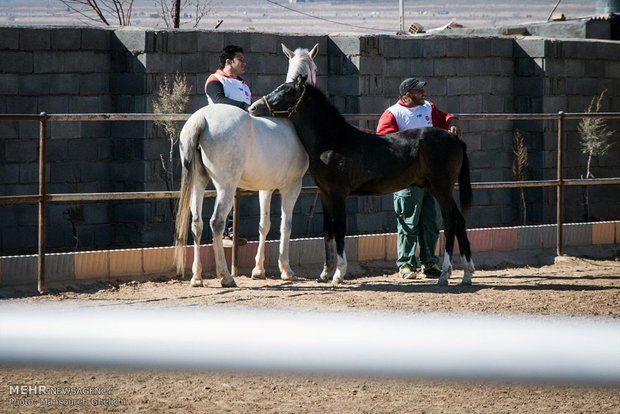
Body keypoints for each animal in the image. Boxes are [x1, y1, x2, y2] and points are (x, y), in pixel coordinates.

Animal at [174, 42, 320, 288]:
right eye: (316, 68)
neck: (288, 120)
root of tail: (201, 120)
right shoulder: (292, 186)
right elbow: (286, 225)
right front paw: (286, 269)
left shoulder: (266, 188)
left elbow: (264, 224)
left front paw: (258, 269)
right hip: (226, 186)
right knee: (216, 223)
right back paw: (225, 275)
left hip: (198, 182)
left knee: (196, 223)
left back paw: (196, 277)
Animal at [248, 75, 474, 284]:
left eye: (285, 92)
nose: (253, 107)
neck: (333, 141)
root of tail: (455, 138)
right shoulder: (325, 193)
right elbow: (327, 230)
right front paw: (325, 273)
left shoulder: (339, 194)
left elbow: (339, 229)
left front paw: (338, 274)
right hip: (437, 189)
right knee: (459, 220)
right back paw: (467, 274)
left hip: (441, 188)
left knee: (450, 222)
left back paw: (445, 274)